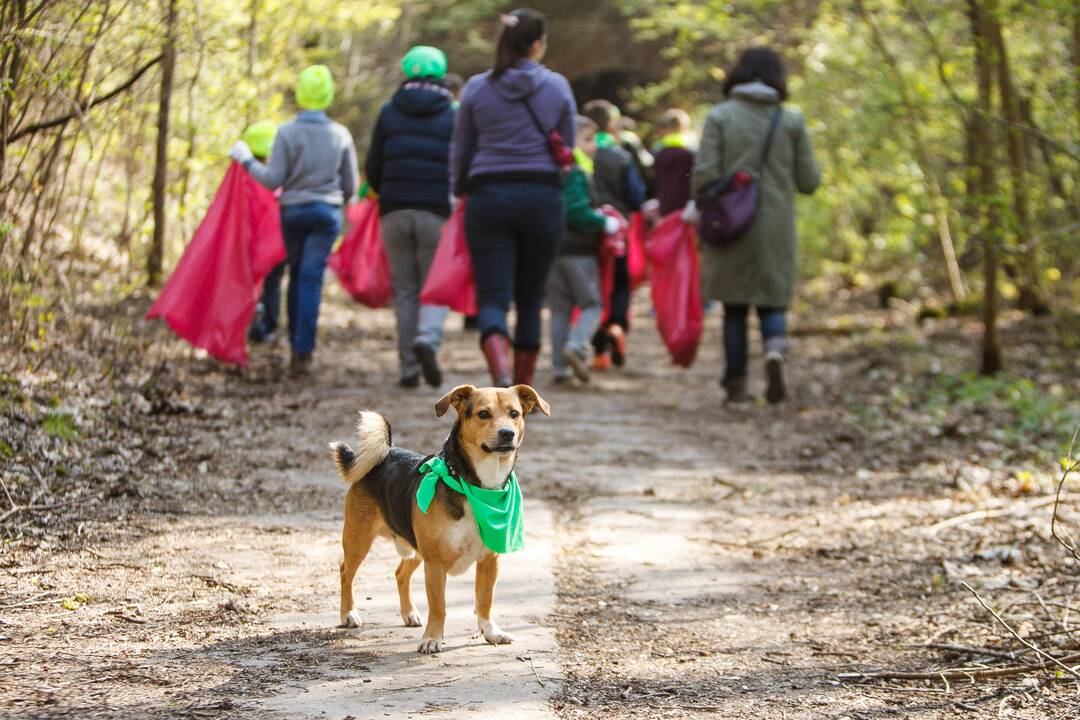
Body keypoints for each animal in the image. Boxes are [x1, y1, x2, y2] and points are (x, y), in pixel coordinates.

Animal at [326, 386, 548, 656]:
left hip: (414, 547)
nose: (507, 433)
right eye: (483, 414)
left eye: (514, 413)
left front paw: (490, 632)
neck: (475, 486)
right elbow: (439, 606)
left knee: (400, 573)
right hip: (359, 540)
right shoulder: (435, 564)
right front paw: (432, 639)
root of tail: (385, 454)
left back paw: (409, 614)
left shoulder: (489, 560)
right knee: (345, 572)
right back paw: (349, 613)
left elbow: (485, 601)